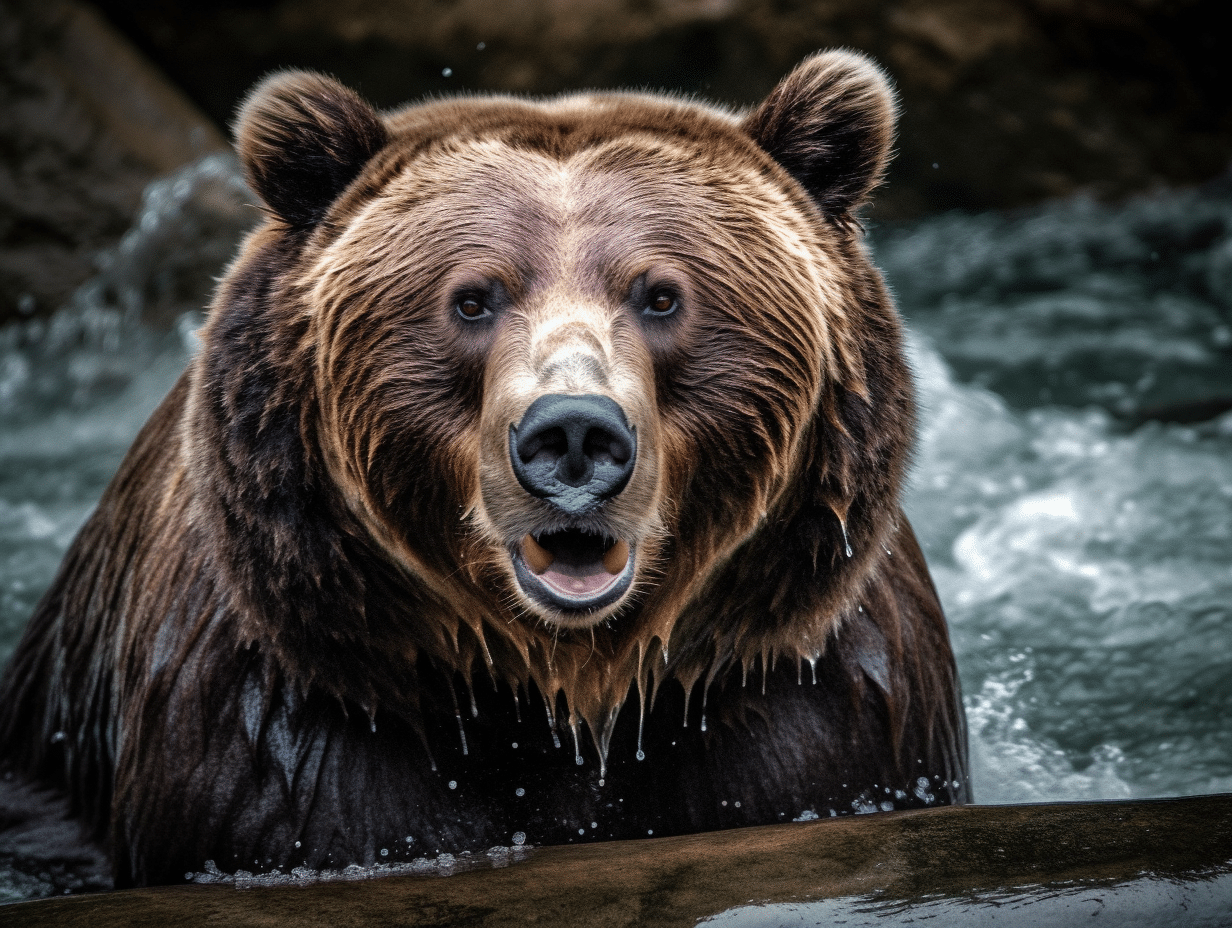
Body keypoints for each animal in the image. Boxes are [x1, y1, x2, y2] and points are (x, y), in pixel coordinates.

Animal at [0, 49, 969, 888]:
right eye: (472, 298)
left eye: (662, 295)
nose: (573, 435)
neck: (562, 693)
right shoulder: (291, 727)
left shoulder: (808, 700)